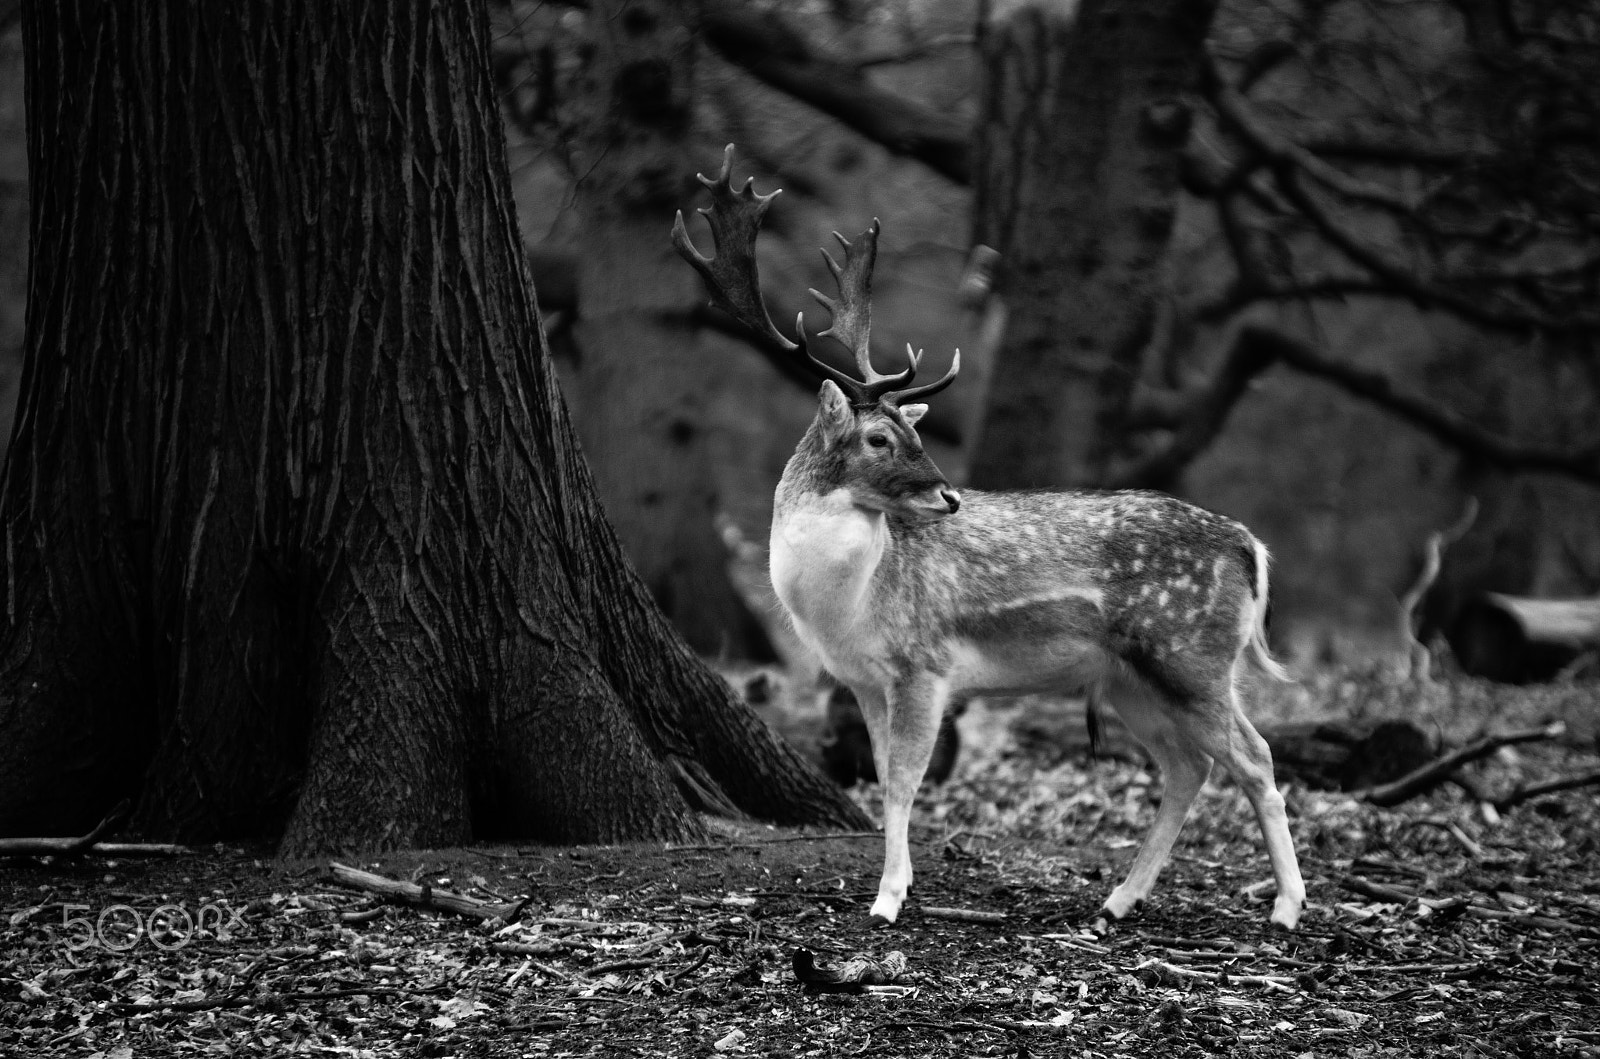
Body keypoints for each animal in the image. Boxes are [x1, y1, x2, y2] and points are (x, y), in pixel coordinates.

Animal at [673, 146, 1305, 931]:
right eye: (881, 438)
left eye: (915, 432)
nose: (949, 497)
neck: (843, 607)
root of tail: (1252, 546)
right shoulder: (862, 679)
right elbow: (881, 776)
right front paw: (897, 883)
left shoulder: (924, 663)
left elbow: (903, 782)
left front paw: (887, 899)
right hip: (1131, 677)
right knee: (1190, 766)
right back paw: (1120, 899)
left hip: (1190, 655)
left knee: (1255, 757)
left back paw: (1287, 908)